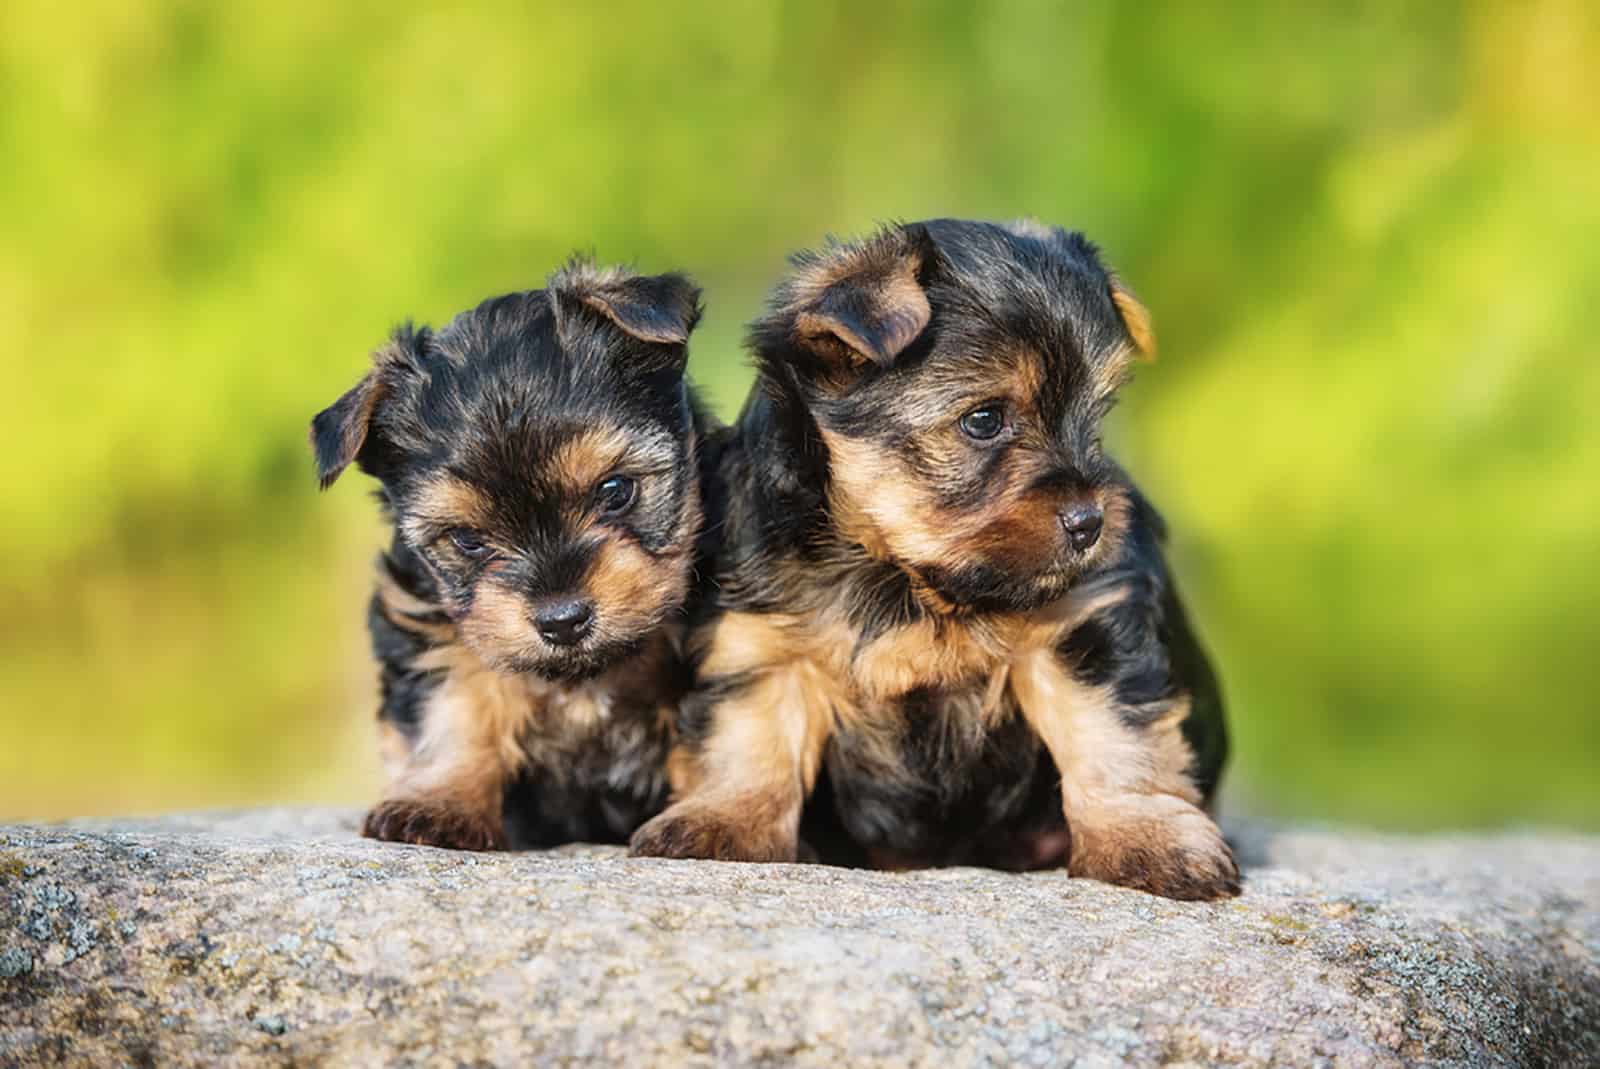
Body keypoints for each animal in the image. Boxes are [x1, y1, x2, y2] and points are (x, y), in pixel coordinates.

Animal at [308, 262, 710, 857]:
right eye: (468, 540)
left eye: (615, 491)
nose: (562, 620)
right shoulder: (431, 624)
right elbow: (457, 708)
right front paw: (439, 805)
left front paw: (715, 819)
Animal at [627, 220, 1235, 896]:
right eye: (984, 420)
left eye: (1095, 419)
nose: (1090, 522)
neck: (902, 571)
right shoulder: (762, 633)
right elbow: (749, 733)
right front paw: (724, 821)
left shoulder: (1081, 623)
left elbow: (1112, 737)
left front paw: (1144, 837)